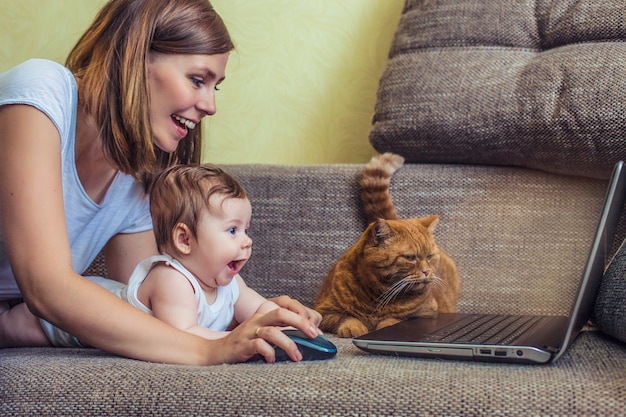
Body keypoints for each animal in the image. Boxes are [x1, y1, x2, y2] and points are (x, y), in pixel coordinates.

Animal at [314, 153, 456, 338]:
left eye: (430, 256)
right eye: (410, 258)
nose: (427, 271)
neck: (378, 296)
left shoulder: (427, 313)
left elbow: (396, 320)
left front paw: (386, 325)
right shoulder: (323, 311)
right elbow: (345, 317)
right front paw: (354, 327)